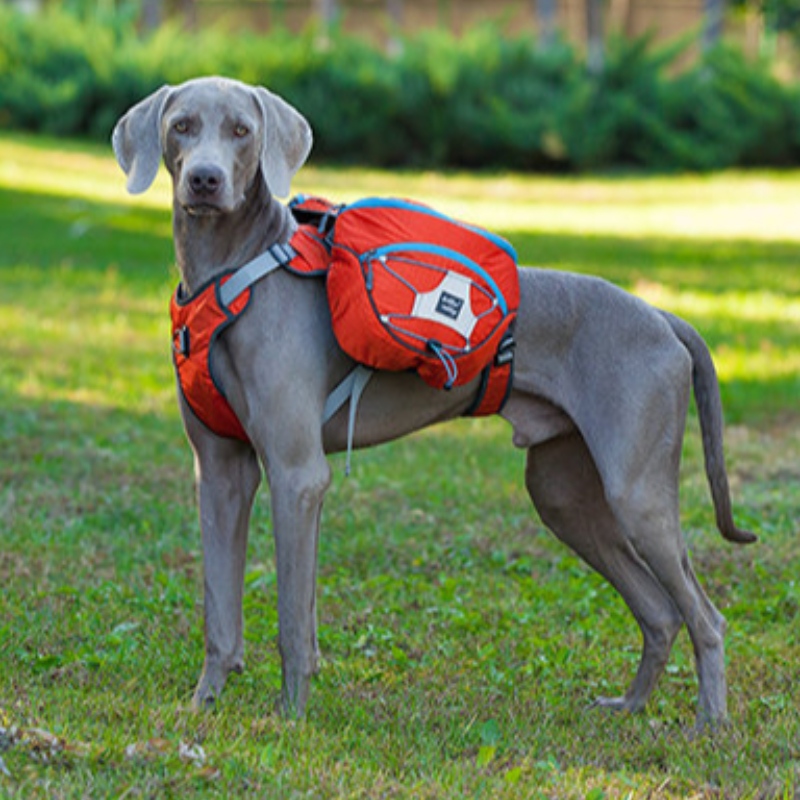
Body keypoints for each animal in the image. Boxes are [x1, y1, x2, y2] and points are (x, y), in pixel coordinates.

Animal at [112, 76, 756, 732]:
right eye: (182, 126)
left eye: (242, 131)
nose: (205, 180)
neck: (231, 272)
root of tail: (662, 316)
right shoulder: (220, 472)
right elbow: (220, 613)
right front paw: (203, 704)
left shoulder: (297, 475)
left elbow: (293, 622)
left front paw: (290, 719)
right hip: (564, 494)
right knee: (660, 611)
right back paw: (630, 705)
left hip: (636, 492)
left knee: (706, 616)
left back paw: (710, 723)